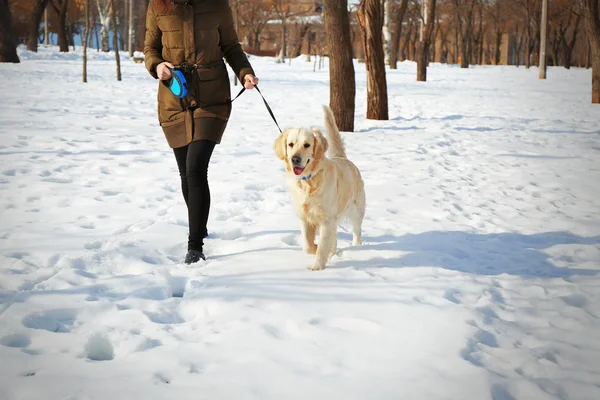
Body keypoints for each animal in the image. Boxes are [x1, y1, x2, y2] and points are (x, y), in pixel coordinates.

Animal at [274, 104, 366, 270]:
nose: (295, 159)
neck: (308, 181)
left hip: (357, 208)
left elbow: (322, 245)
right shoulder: (304, 217)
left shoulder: (327, 219)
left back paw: (357, 247)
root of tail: (342, 158)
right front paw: (316, 249)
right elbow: (307, 245)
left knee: (357, 230)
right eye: (290, 144)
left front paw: (317, 266)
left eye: (307, 145)